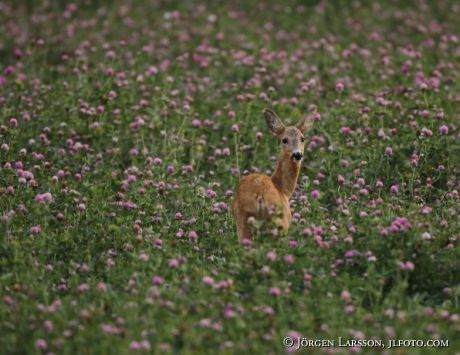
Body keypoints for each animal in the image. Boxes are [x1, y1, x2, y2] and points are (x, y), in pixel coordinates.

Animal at [232, 105, 318, 243]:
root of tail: (260, 198)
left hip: (243, 222)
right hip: (279, 224)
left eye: (302, 138)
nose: (297, 154)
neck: (282, 188)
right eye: (284, 140)